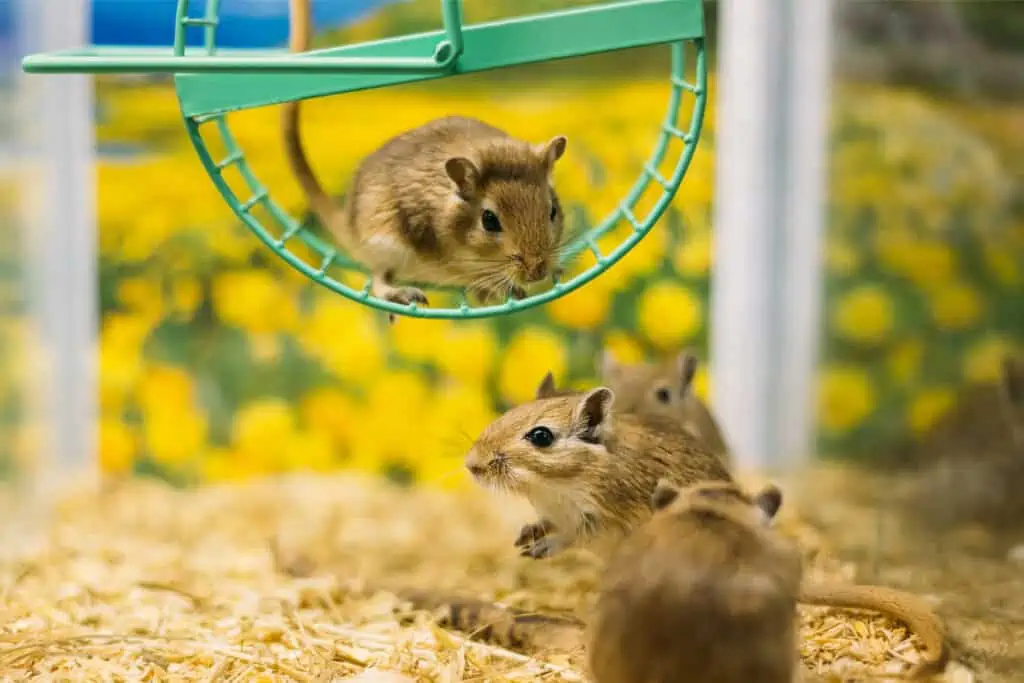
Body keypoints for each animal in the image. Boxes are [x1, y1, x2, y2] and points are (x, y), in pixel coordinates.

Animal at [282, 0, 568, 315]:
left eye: (552, 211)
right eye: (489, 221)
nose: (537, 271)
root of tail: (348, 227)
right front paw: (500, 288)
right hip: (385, 244)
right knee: (378, 278)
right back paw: (405, 294)